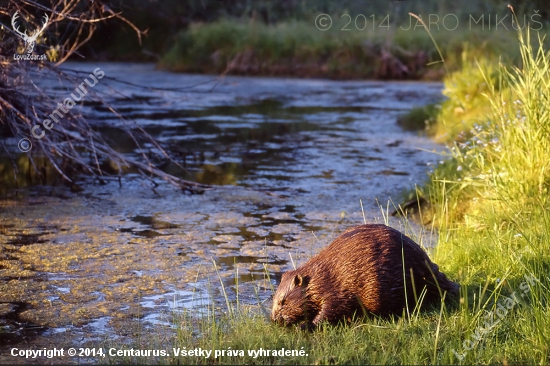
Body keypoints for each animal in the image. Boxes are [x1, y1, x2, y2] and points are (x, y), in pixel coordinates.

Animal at [272, 224, 462, 328]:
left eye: (283, 301)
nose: (274, 319)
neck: (318, 277)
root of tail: (429, 268)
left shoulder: (335, 290)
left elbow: (330, 310)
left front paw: (305, 325)